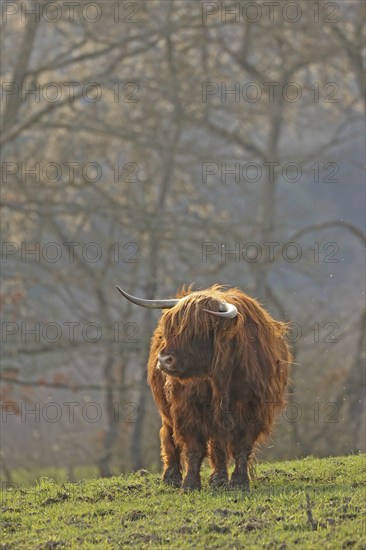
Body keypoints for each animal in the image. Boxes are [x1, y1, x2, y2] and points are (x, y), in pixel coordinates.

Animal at [117, 284, 292, 492]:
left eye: (198, 331)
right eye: (171, 329)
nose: (164, 360)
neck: (222, 377)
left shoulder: (254, 410)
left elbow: (242, 447)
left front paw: (239, 482)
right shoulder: (187, 411)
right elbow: (194, 449)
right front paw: (190, 484)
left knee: (218, 445)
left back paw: (219, 478)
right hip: (167, 411)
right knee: (169, 437)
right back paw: (172, 477)